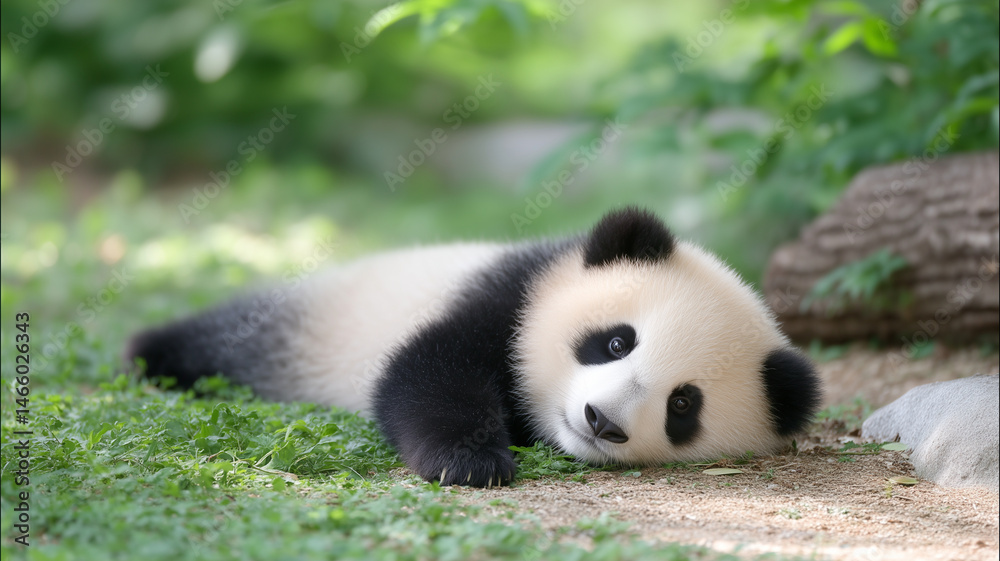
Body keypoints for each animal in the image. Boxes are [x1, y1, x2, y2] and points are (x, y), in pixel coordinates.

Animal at [126, 207, 822, 487]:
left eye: (683, 405)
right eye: (616, 340)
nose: (602, 421)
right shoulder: (511, 298)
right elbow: (427, 372)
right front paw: (470, 461)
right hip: (300, 324)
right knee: (219, 340)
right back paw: (149, 355)